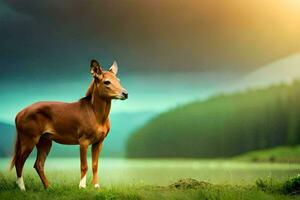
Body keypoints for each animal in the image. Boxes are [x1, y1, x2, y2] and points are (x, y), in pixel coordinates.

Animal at [9, 59, 127, 191]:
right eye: (106, 82)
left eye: (118, 80)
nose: (125, 93)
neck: (96, 114)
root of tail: (19, 114)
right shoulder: (83, 141)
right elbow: (84, 165)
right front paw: (82, 186)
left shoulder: (99, 142)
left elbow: (95, 165)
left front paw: (96, 186)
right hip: (29, 139)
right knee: (19, 162)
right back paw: (22, 188)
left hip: (45, 141)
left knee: (38, 164)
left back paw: (49, 187)